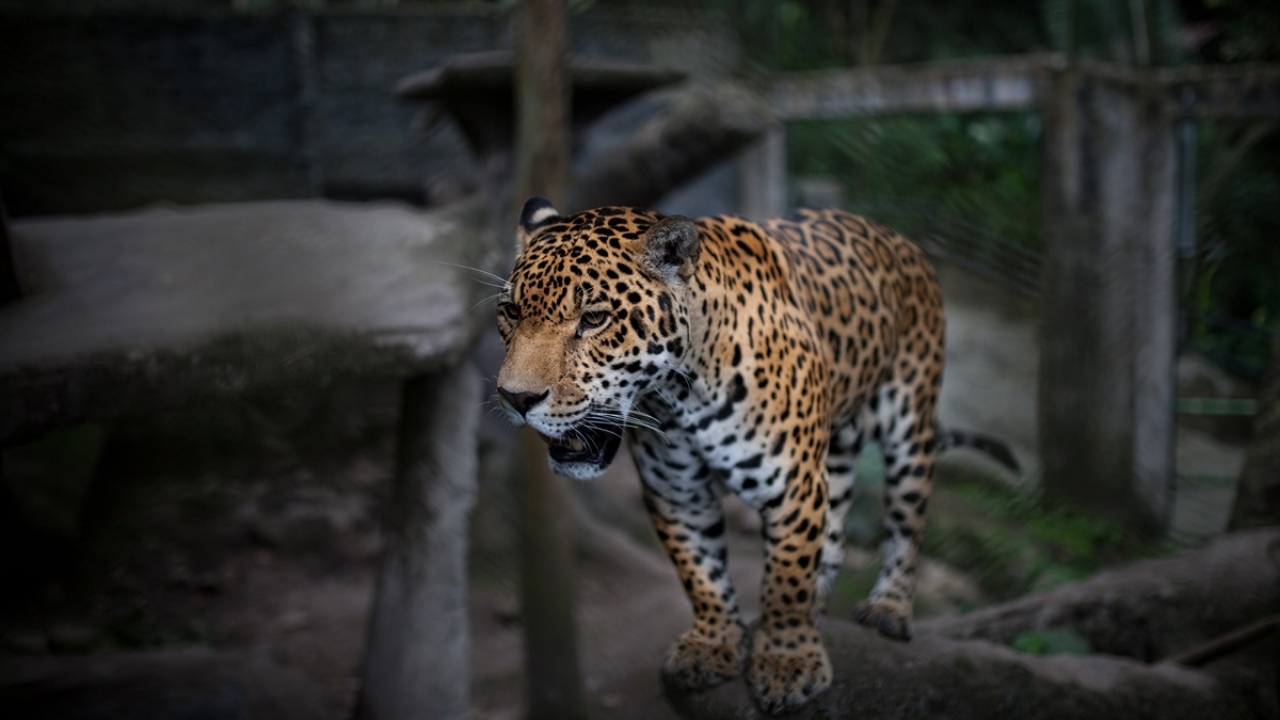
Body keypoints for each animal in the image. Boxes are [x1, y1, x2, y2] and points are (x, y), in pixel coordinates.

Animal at [494, 196, 1017, 714]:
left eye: (594, 319)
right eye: (510, 311)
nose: (515, 398)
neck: (679, 397)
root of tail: (900, 239)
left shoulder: (793, 485)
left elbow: (786, 577)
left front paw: (788, 662)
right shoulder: (678, 494)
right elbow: (700, 573)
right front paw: (712, 644)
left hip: (910, 423)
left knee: (907, 522)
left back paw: (889, 609)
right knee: (836, 526)